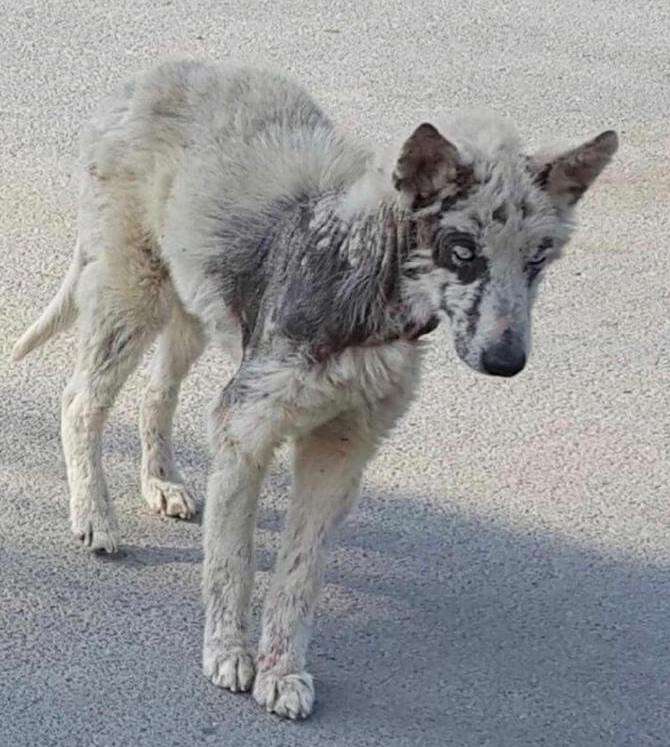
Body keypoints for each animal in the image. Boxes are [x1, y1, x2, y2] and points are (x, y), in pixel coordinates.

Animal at [11, 60, 620, 720]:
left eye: (538, 260)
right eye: (462, 252)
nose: (507, 362)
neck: (358, 277)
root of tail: (161, 73)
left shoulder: (340, 451)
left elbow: (299, 575)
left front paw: (281, 671)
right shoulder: (246, 430)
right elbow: (232, 561)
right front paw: (228, 653)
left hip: (192, 304)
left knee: (157, 393)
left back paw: (162, 483)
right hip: (131, 294)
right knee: (80, 401)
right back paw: (93, 515)